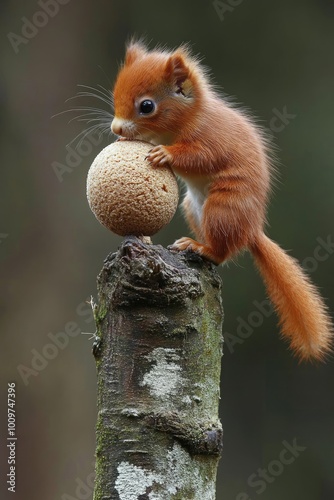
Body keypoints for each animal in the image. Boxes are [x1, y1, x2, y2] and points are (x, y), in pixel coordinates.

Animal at [110, 41, 332, 362]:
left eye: (147, 106)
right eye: (115, 94)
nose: (116, 129)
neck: (184, 120)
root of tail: (252, 231)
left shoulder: (212, 139)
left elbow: (199, 156)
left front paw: (166, 154)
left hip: (223, 208)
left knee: (222, 253)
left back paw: (201, 248)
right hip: (193, 208)